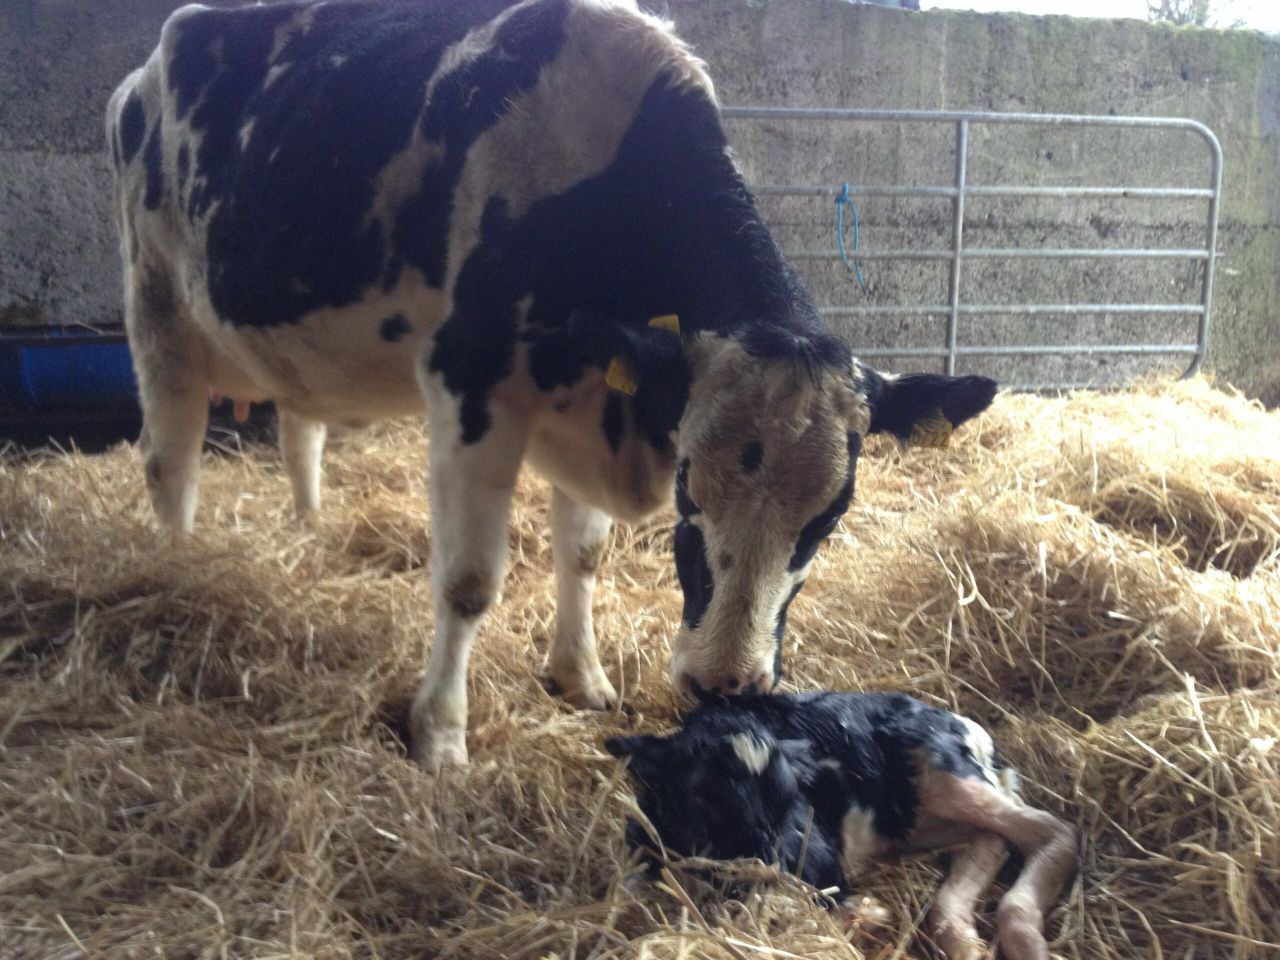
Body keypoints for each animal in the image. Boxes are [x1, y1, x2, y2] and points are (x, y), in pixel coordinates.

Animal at [106, 0, 997, 769]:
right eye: (688, 490)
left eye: (831, 516)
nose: (723, 684)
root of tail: (144, 67)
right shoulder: (470, 387)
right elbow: (469, 583)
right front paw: (441, 736)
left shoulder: (595, 399)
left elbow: (586, 553)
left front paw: (582, 678)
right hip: (156, 302)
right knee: (170, 459)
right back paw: (177, 572)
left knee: (300, 431)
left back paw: (311, 527)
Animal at [608, 692, 1078, 960]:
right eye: (706, 796)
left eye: (792, 794)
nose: (776, 866)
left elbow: (842, 906)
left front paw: (872, 915)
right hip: (913, 820)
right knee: (991, 840)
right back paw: (965, 943)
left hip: (947, 771)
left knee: (1051, 829)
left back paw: (1025, 938)